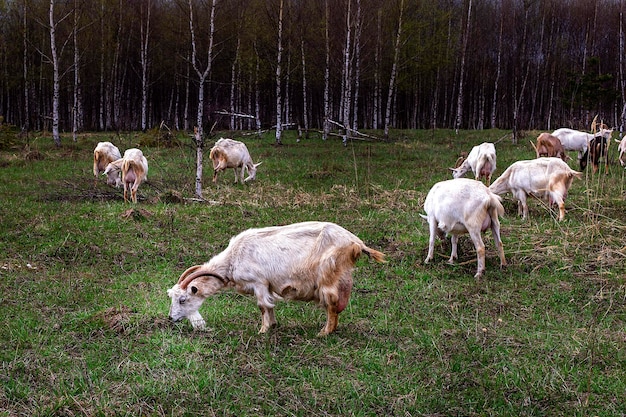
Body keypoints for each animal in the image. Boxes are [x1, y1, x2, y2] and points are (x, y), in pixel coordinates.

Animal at [166, 221, 382, 334]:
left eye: (183, 299)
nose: (171, 318)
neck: (234, 258)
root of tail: (355, 242)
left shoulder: (259, 282)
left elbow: (262, 306)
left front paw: (263, 331)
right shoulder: (268, 285)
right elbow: (270, 305)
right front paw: (274, 324)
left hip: (328, 275)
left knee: (332, 304)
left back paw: (324, 333)